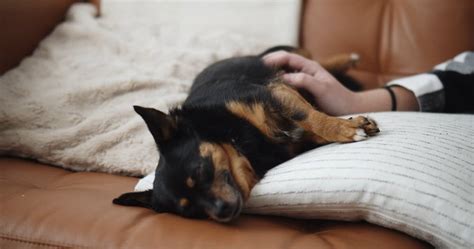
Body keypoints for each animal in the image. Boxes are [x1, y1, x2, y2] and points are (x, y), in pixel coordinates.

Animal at [113, 46, 380, 222]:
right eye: (191, 212)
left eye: (200, 170)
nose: (221, 212)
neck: (239, 141)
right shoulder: (292, 132)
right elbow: (310, 129)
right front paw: (351, 125)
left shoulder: (274, 93)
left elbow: (307, 116)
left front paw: (344, 128)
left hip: (285, 63)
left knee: (313, 62)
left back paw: (346, 60)